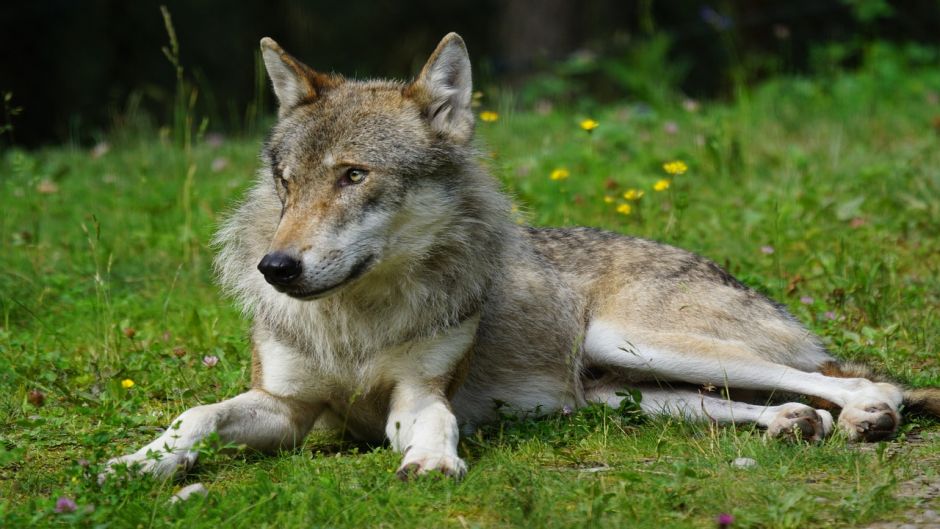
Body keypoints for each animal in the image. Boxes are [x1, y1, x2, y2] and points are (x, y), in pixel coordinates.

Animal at [103, 32, 940, 478]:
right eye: (286, 183)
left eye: (354, 176)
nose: (275, 269)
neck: (357, 320)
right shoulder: (284, 406)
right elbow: (195, 414)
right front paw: (139, 463)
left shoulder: (416, 395)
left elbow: (435, 422)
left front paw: (432, 462)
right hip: (623, 387)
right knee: (775, 400)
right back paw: (795, 423)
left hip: (635, 339)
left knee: (858, 380)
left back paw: (867, 414)